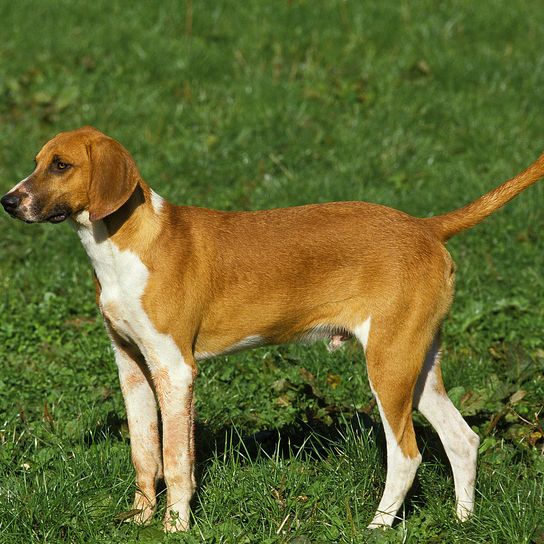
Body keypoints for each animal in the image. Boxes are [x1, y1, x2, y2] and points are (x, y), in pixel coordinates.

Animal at [2, 126, 540, 532]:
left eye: (61, 165)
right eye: (37, 161)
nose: (7, 201)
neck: (123, 246)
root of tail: (426, 226)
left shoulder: (176, 370)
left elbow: (175, 463)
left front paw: (176, 528)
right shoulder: (132, 367)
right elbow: (145, 455)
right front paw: (140, 521)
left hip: (388, 369)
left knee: (407, 456)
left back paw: (376, 526)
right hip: (417, 366)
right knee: (462, 441)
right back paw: (463, 521)